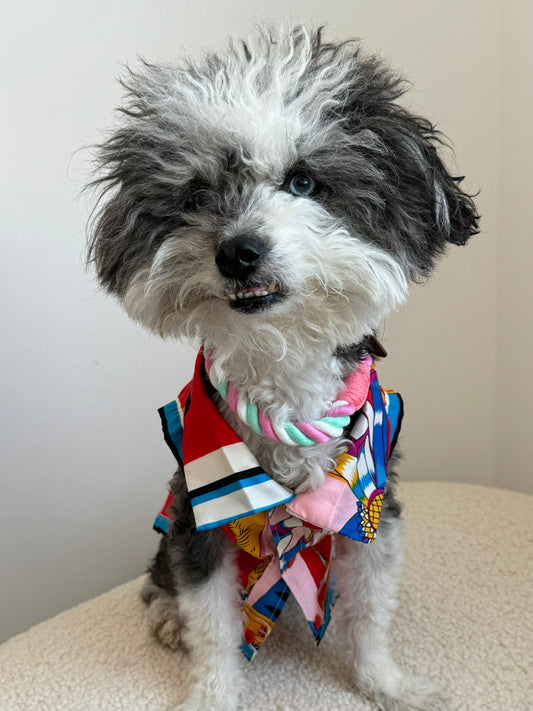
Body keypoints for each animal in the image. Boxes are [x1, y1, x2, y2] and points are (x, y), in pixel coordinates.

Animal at [87, 25, 478, 708]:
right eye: (196, 195)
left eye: (303, 181)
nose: (237, 252)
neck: (282, 364)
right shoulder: (198, 515)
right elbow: (212, 624)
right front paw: (210, 694)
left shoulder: (371, 509)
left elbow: (370, 610)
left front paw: (386, 684)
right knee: (160, 581)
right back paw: (165, 617)